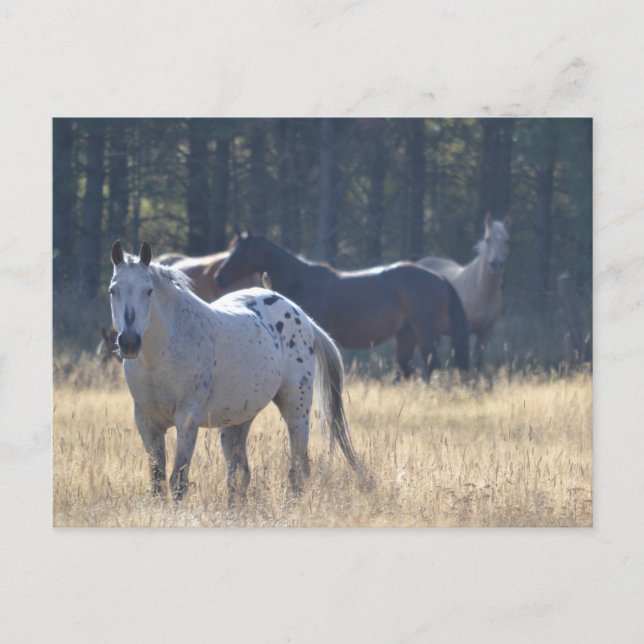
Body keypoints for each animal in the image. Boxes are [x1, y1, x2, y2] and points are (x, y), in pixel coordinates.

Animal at [109, 240, 358, 504]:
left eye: (148, 291)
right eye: (113, 290)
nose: (129, 342)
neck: (160, 355)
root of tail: (299, 313)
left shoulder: (187, 420)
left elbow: (178, 481)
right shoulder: (147, 422)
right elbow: (157, 481)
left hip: (296, 407)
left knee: (297, 468)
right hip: (237, 423)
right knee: (239, 475)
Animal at [215, 233, 470, 380]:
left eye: (239, 252)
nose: (219, 277)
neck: (301, 281)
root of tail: (440, 278)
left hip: (424, 333)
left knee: (432, 366)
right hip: (406, 335)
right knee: (405, 370)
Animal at [418, 214, 510, 368]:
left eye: (506, 241)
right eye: (487, 239)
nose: (495, 264)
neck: (480, 290)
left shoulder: (485, 332)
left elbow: (475, 363)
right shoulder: (461, 332)